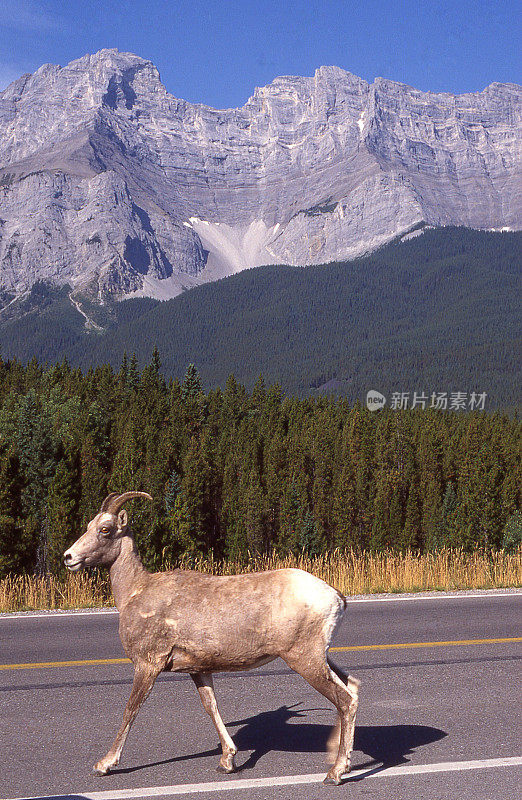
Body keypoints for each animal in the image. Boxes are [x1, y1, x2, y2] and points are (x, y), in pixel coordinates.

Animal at [64, 490, 358, 784]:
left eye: (105, 529)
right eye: (89, 525)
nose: (69, 557)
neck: (135, 591)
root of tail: (336, 597)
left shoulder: (148, 665)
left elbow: (131, 709)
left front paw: (104, 764)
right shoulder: (198, 669)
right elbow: (211, 706)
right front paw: (227, 761)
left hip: (305, 660)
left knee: (344, 700)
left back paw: (335, 772)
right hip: (321, 657)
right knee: (352, 687)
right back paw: (337, 760)